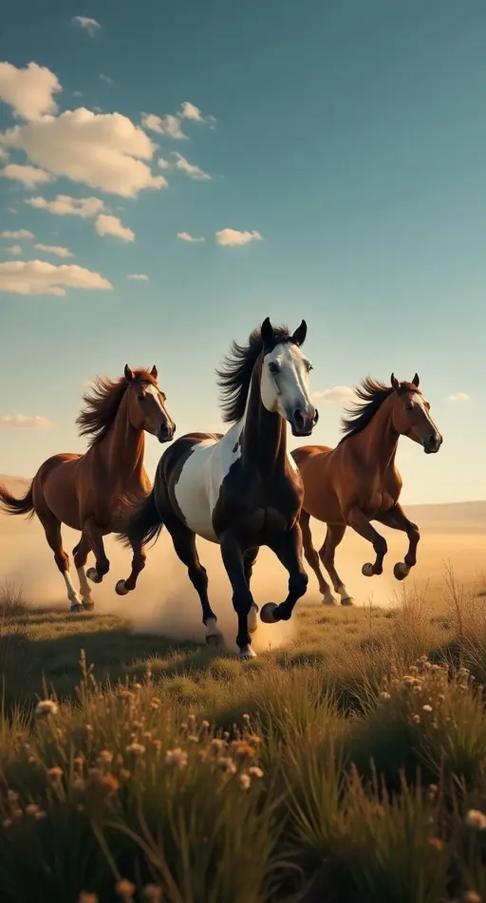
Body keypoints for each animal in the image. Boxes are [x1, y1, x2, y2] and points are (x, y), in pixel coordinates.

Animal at [0, 366, 175, 612]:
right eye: (141, 397)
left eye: (162, 395)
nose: (167, 429)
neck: (118, 474)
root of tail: (43, 469)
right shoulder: (92, 524)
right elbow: (102, 564)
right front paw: (95, 576)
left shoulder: (133, 525)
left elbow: (139, 561)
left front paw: (122, 586)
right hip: (52, 523)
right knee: (63, 558)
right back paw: (75, 600)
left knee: (77, 555)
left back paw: (88, 598)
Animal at [118, 318, 318, 658]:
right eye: (274, 366)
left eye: (308, 366)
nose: (306, 417)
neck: (261, 469)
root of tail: (176, 448)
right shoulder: (230, 539)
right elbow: (238, 593)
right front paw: (244, 646)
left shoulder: (285, 532)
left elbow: (299, 581)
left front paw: (268, 613)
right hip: (181, 533)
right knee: (199, 575)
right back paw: (212, 630)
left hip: (253, 542)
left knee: (248, 574)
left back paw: (253, 619)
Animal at [292, 374, 443, 605]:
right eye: (409, 407)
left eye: (427, 405)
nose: (435, 440)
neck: (372, 462)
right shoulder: (355, 515)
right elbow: (380, 543)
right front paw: (370, 568)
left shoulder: (386, 511)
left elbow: (414, 532)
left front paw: (402, 569)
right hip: (303, 517)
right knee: (312, 555)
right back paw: (328, 594)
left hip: (335, 523)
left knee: (327, 554)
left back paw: (345, 594)